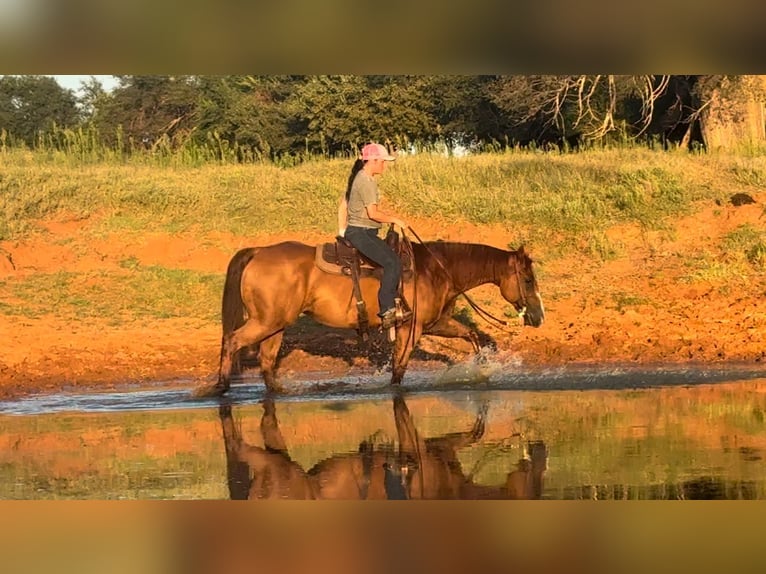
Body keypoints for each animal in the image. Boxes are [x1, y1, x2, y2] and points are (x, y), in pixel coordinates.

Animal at [204, 239, 544, 396]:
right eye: (528, 280)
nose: (538, 317)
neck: (436, 270)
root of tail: (259, 251)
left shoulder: (434, 324)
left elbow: (471, 335)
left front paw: (482, 369)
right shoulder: (411, 328)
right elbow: (399, 369)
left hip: (276, 325)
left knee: (266, 359)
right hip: (266, 322)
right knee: (232, 340)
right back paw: (220, 387)